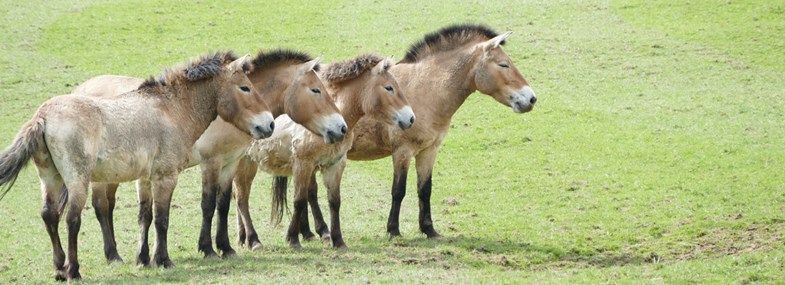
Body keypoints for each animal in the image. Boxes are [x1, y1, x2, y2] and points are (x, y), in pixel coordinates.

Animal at [0, 51, 276, 280]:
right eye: (245, 88)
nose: (269, 124)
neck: (172, 110)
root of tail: (43, 116)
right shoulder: (167, 176)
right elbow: (162, 218)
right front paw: (164, 260)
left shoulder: (148, 177)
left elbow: (147, 216)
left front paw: (146, 259)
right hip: (79, 180)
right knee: (73, 219)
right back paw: (74, 271)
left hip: (51, 178)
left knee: (50, 215)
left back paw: (59, 269)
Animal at [76, 49, 346, 262]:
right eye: (316, 90)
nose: (341, 128)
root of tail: (81, 88)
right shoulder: (211, 162)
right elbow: (208, 204)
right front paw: (207, 248)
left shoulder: (230, 162)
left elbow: (224, 203)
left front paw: (226, 247)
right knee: (102, 207)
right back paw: (113, 255)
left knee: (110, 206)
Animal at [234, 54, 414, 247]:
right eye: (389, 87)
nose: (411, 118)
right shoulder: (303, 165)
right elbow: (300, 200)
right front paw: (293, 238)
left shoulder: (335, 165)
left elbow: (334, 201)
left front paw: (338, 240)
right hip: (244, 164)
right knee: (242, 198)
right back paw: (253, 239)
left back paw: (242, 237)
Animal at [298, 23, 536, 239]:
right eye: (504, 64)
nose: (531, 98)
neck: (424, 90)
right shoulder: (402, 152)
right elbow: (398, 191)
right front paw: (393, 230)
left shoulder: (429, 151)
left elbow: (425, 189)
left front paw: (429, 229)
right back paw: (319, 231)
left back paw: (309, 231)